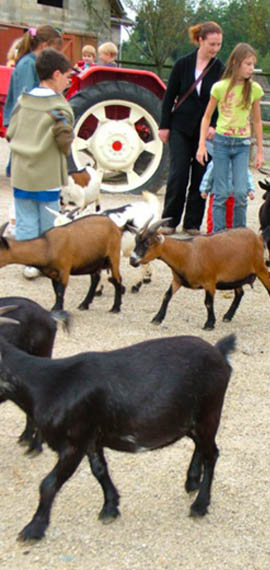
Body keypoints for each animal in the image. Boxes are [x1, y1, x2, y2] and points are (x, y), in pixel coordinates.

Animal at [129, 221, 270, 328]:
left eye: (147, 243)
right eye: (136, 241)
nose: (132, 260)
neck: (188, 253)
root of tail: (258, 237)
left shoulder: (210, 281)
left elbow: (208, 302)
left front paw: (209, 324)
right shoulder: (177, 280)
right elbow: (167, 296)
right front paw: (157, 318)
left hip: (260, 267)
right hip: (236, 276)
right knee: (240, 293)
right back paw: (227, 316)